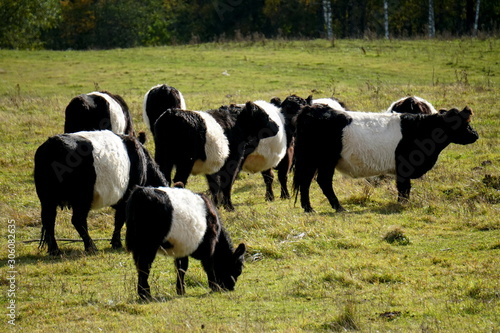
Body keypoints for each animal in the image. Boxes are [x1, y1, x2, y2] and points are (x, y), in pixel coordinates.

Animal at [33, 130, 166, 254]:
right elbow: (120, 220)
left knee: (49, 219)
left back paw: (54, 250)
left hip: (48, 199)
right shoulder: (126, 197)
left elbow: (119, 219)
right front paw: (117, 243)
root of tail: (53, 144)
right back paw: (91, 247)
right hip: (82, 198)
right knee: (77, 220)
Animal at [294, 104, 478, 211]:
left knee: (307, 182)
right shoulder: (405, 166)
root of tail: (312, 109)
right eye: (465, 123)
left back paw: (309, 208)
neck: (421, 129)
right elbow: (404, 187)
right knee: (321, 181)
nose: (475, 134)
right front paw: (403, 204)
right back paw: (337, 207)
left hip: (313, 160)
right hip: (323, 160)